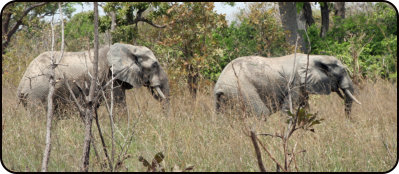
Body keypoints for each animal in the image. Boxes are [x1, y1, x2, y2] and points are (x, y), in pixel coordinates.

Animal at [16, 43, 170, 113]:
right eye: (155, 65)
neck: (130, 47)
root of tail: (22, 83)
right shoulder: (110, 77)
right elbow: (118, 105)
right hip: (37, 94)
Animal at [216, 53, 362, 117]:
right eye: (342, 72)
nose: (348, 121)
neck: (315, 57)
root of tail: (218, 85)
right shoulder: (295, 83)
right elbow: (287, 110)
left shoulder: (302, 86)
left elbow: (304, 107)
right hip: (242, 88)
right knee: (262, 113)